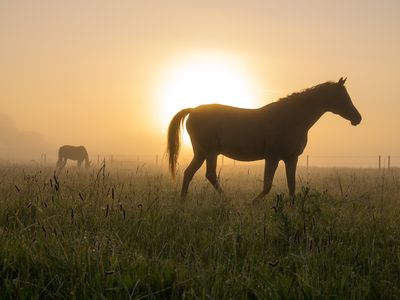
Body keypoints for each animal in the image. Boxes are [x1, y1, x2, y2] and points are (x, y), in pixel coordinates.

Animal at [167, 78, 360, 204]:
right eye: (342, 97)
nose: (358, 118)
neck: (292, 119)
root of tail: (193, 110)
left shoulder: (291, 158)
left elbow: (292, 186)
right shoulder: (272, 157)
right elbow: (267, 186)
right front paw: (252, 203)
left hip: (201, 153)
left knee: (188, 173)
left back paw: (182, 202)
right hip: (211, 152)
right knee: (210, 175)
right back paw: (226, 200)